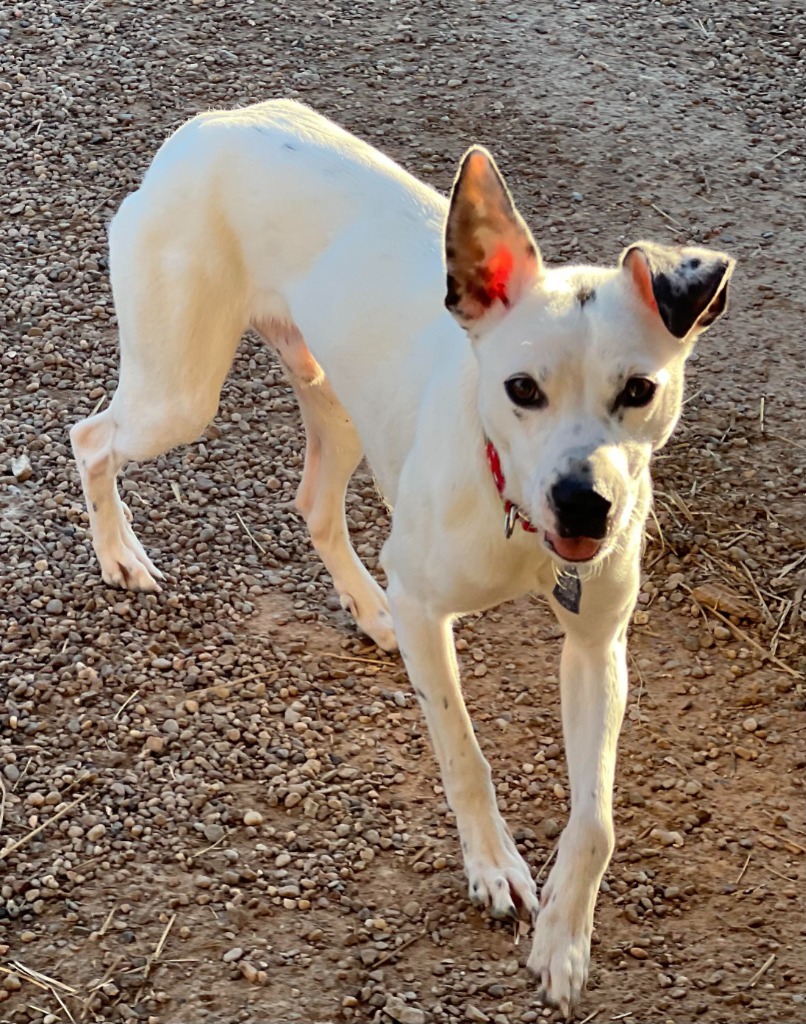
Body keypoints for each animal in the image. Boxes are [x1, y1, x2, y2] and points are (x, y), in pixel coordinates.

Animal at [71, 99, 737, 1011]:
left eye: (639, 390)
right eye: (521, 389)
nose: (585, 503)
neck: (512, 511)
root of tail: (215, 121)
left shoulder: (596, 646)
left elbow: (596, 820)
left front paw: (564, 940)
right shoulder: (432, 610)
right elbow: (463, 752)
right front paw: (493, 868)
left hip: (336, 403)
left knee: (315, 506)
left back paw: (367, 608)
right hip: (180, 395)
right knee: (92, 436)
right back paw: (120, 554)